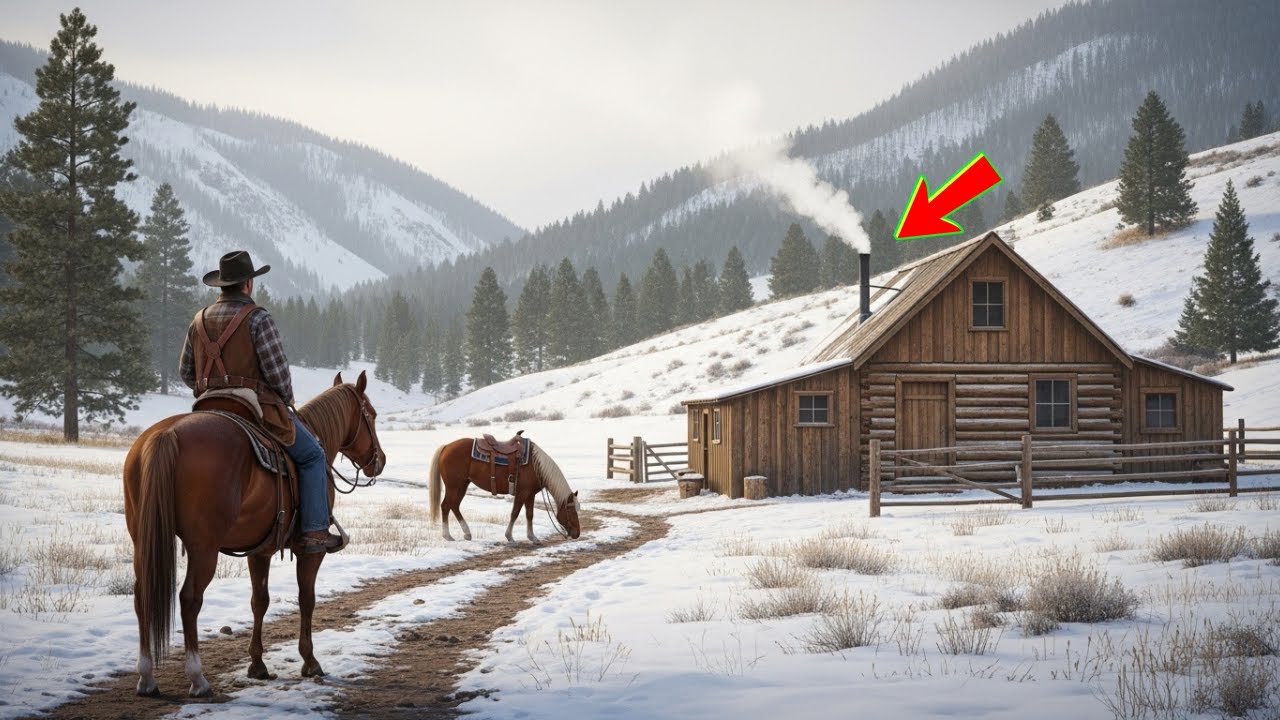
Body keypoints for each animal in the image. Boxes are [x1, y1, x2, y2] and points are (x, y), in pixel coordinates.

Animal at [123, 370, 386, 698]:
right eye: (371, 414)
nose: (380, 460)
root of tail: (167, 434)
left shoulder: (260, 549)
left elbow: (259, 600)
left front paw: (257, 665)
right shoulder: (310, 551)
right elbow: (307, 598)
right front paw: (310, 661)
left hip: (142, 540)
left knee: (142, 595)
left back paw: (146, 678)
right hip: (203, 547)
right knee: (190, 599)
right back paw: (197, 678)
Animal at [428, 436, 581, 543]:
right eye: (571, 510)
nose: (577, 533)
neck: (536, 465)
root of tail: (446, 447)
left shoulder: (530, 494)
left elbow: (529, 515)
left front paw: (533, 537)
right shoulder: (522, 493)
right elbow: (515, 513)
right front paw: (510, 537)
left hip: (462, 485)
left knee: (454, 506)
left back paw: (467, 533)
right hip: (453, 486)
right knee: (446, 506)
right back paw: (448, 535)